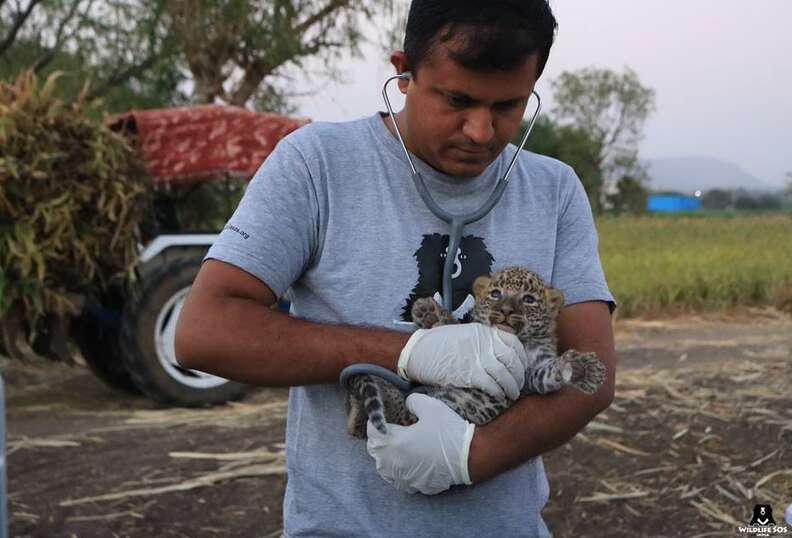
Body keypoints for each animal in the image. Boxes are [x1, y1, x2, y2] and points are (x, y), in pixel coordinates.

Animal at [346, 266, 607, 439]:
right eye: (495, 294)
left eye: (529, 299)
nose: (505, 310)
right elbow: (451, 326)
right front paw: (428, 312)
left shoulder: (529, 376)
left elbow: (550, 372)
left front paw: (582, 369)